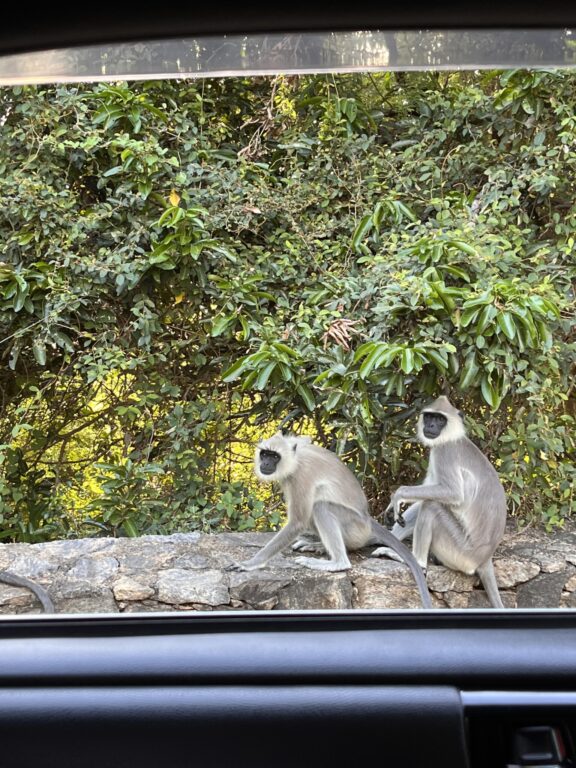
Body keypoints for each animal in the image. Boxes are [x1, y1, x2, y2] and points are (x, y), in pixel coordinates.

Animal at [225, 436, 432, 608]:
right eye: (265, 454)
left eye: (274, 456)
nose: (266, 462)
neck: (295, 460)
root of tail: (367, 518)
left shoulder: (301, 475)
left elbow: (298, 522)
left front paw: (250, 563)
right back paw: (318, 546)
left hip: (354, 526)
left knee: (320, 506)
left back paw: (336, 562)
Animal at [374, 396, 504, 608]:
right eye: (429, 417)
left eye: (439, 419)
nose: (431, 425)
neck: (452, 437)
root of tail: (485, 559)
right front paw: (393, 505)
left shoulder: (445, 451)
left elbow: (453, 493)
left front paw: (398, 494)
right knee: (426, 502)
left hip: (460, 552)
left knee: (431, 506)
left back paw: (416, 561)